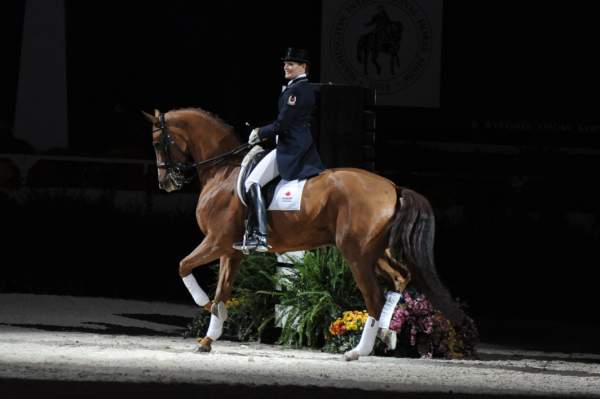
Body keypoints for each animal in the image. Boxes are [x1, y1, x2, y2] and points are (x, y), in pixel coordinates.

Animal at [143, 108, 466, 360]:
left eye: (159, 142)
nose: (166, 182)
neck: (223, 172)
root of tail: (392, 187)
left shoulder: (215, 241)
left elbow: (184, 266)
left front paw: (207, 307)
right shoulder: (231, 250)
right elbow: (222, 290)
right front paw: (209, 337)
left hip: (357, 254)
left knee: (374, 296)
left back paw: (357, 351)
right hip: (374, 252)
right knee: (400, 278)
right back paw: (387, 335)